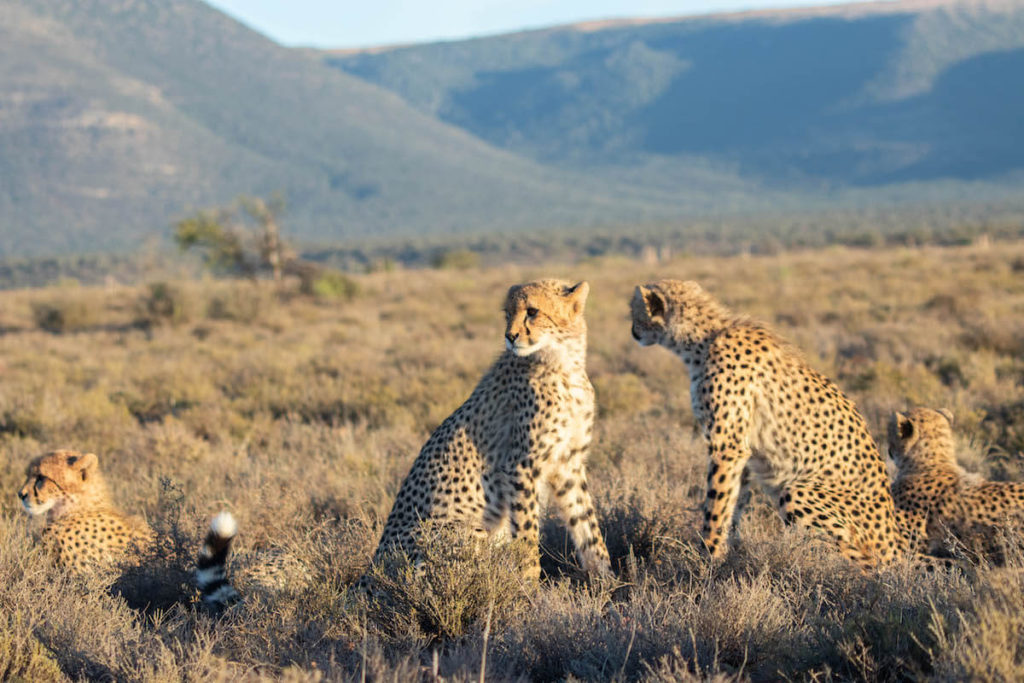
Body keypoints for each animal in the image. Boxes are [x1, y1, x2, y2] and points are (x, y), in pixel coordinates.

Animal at [366, 278, 606, 581]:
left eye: (532, 312)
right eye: (507, 313)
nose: (510, 336)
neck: (564, 363)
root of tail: (372, 568)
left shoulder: (568, 465)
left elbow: (587, 526)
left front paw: (610, 581)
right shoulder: (520, 467)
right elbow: (527, 537)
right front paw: (530, 586)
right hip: (461, 531)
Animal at [626, 278, 909, 573]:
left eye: (634, 310)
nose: (633, 331)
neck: (702, 338)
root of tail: (895, 543)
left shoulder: (727, 447)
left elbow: (715, 505)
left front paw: (707, 557)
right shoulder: (741, 451)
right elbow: (732, 503)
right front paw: (729, 553)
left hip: (798, 491)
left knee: (865, 565)